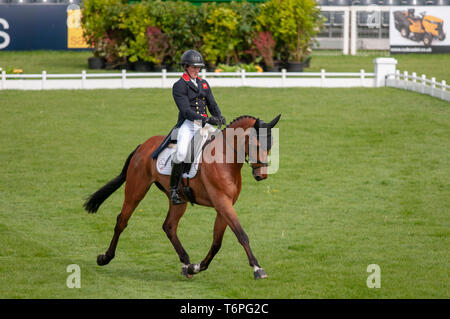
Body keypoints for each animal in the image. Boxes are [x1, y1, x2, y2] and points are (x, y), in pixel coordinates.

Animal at [84, 115, 280, 280]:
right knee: (122, 221)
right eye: (256, 144)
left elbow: (217, 242)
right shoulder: (222, 203)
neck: (225, 158)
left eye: (269, 146)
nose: (262, 175)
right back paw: (105, 257)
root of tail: (143, 145)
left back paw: (186, 264)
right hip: (136, 190)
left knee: (169, 226)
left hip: (179, 200)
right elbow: (241, 234)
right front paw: (257, 268)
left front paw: (197, 266)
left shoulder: (224, 205)